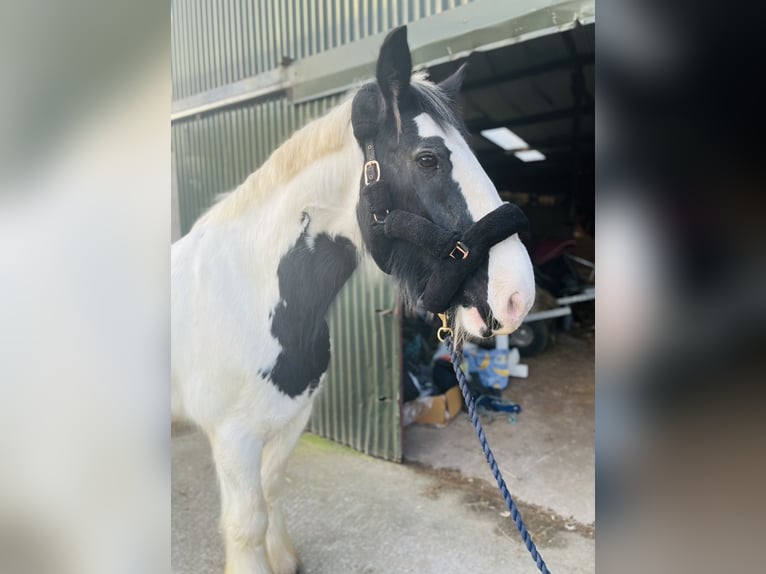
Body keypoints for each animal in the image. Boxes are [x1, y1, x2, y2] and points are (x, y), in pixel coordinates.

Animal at [171, 26, 535, 574]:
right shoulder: (234, 437)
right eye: (428, 159)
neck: (249, 298)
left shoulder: (291, 415)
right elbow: (245, 522)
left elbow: (272, 489)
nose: (518, 294)